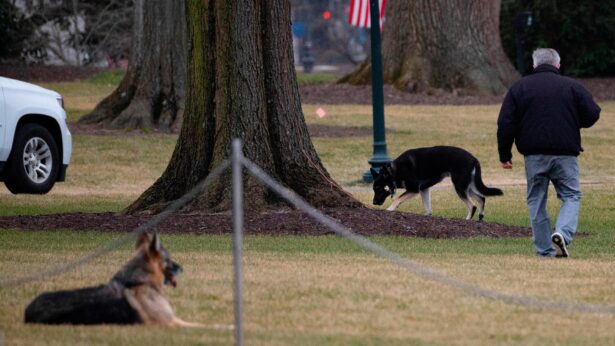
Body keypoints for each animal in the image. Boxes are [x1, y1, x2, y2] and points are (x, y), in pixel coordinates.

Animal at [24, 231, 202, 326]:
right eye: (169, 259)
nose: (182, 268)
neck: (137, 282)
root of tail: (28, 314)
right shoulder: (170, 322)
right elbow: (202, 325)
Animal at [370, 145, 506, 220]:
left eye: (378, 188)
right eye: (374, 188)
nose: (374, 202)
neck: (395, 170)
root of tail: (474, 159)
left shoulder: (414, 189)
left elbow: (397, 199)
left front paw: (390, 209)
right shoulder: (424, 189)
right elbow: (427, 208)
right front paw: (427, 216)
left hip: (459, 186)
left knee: (472, 205)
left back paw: (467, 220)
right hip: (467, 186)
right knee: (482, 198)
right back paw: (481, 217)